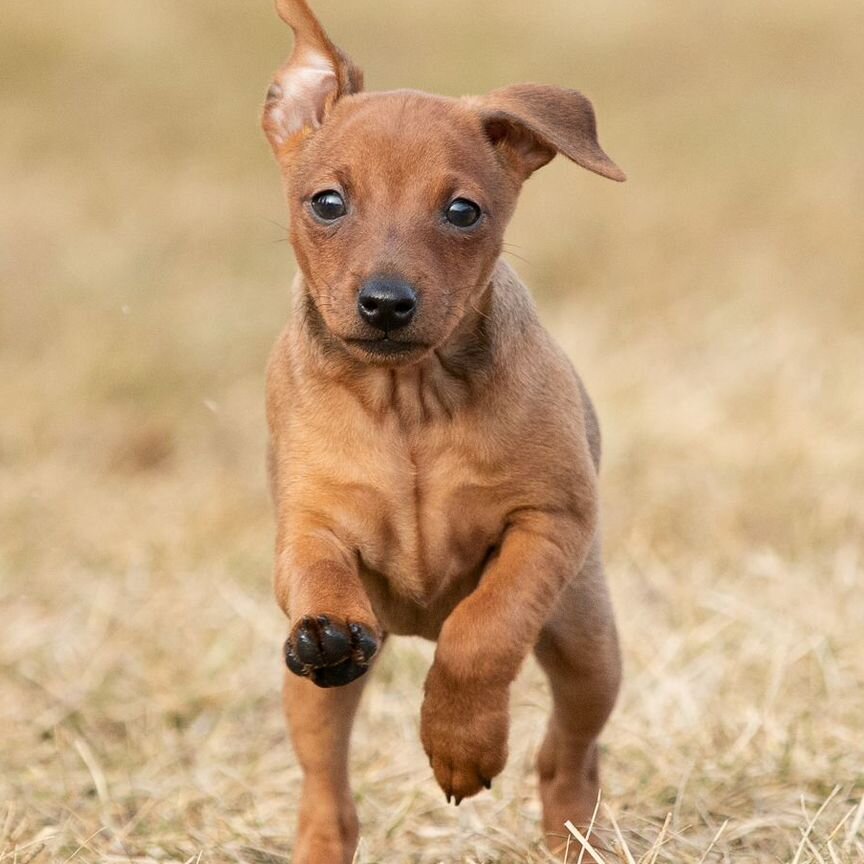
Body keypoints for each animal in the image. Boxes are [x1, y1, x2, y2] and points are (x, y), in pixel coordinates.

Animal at [260, 3, 624, 860]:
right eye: (328, 203)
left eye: (463, 212)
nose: (387, 303)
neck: (410, 406)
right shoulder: (308, 525)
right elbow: (317, 570)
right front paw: (330, 627)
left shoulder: (548, 523)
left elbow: (482, 631)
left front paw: (461, 744)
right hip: (312, 699)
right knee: (327, 790)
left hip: (587, 642)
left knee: (571, 753)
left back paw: (570, 830)